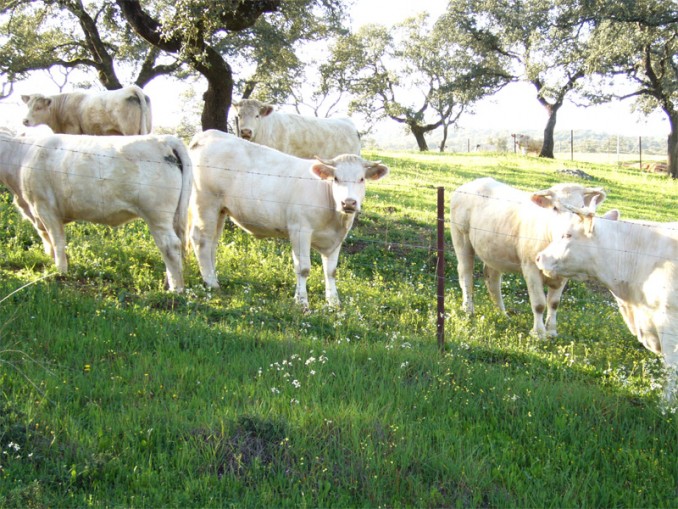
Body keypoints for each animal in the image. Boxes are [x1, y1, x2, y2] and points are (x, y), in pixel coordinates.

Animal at [0, 132, 191, 291]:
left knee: (170, 245)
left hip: (156, 214)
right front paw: (51, 261)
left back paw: (176, 289)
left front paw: (60, 271)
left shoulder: (45, 207)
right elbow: (47, 240)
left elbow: (57, 241)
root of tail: (164, 138)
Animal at [21, 85, 152, 136]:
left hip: (130, 131)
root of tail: (131, 89)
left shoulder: (73, 131)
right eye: (28, 106)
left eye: (38, 107)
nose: (25, 121)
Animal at [188, 130, 388, 307]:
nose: (348, 202)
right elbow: (303, 268)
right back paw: (211, 282)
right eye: (336, 178)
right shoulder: (299, 229)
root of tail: (208, 134)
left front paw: (334, 303)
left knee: (212, 243)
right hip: (205, 203)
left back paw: (212, 275)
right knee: (201, 240)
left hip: (220, 210)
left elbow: (331, 271)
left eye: (361, 179)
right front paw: (302, 302)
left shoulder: (337, 238)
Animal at [449, 177, 606, 339]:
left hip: (493, 251)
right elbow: (539, 304)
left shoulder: (563, 274)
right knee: (466, 274)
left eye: (582, 206)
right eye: (555, 208)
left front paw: (552, 331)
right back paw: (468, 309)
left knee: (492, 280)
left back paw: (502, 314)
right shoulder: (530, 267)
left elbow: (554, 303)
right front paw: (539, 333)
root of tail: (474, 182)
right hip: (461, 237)